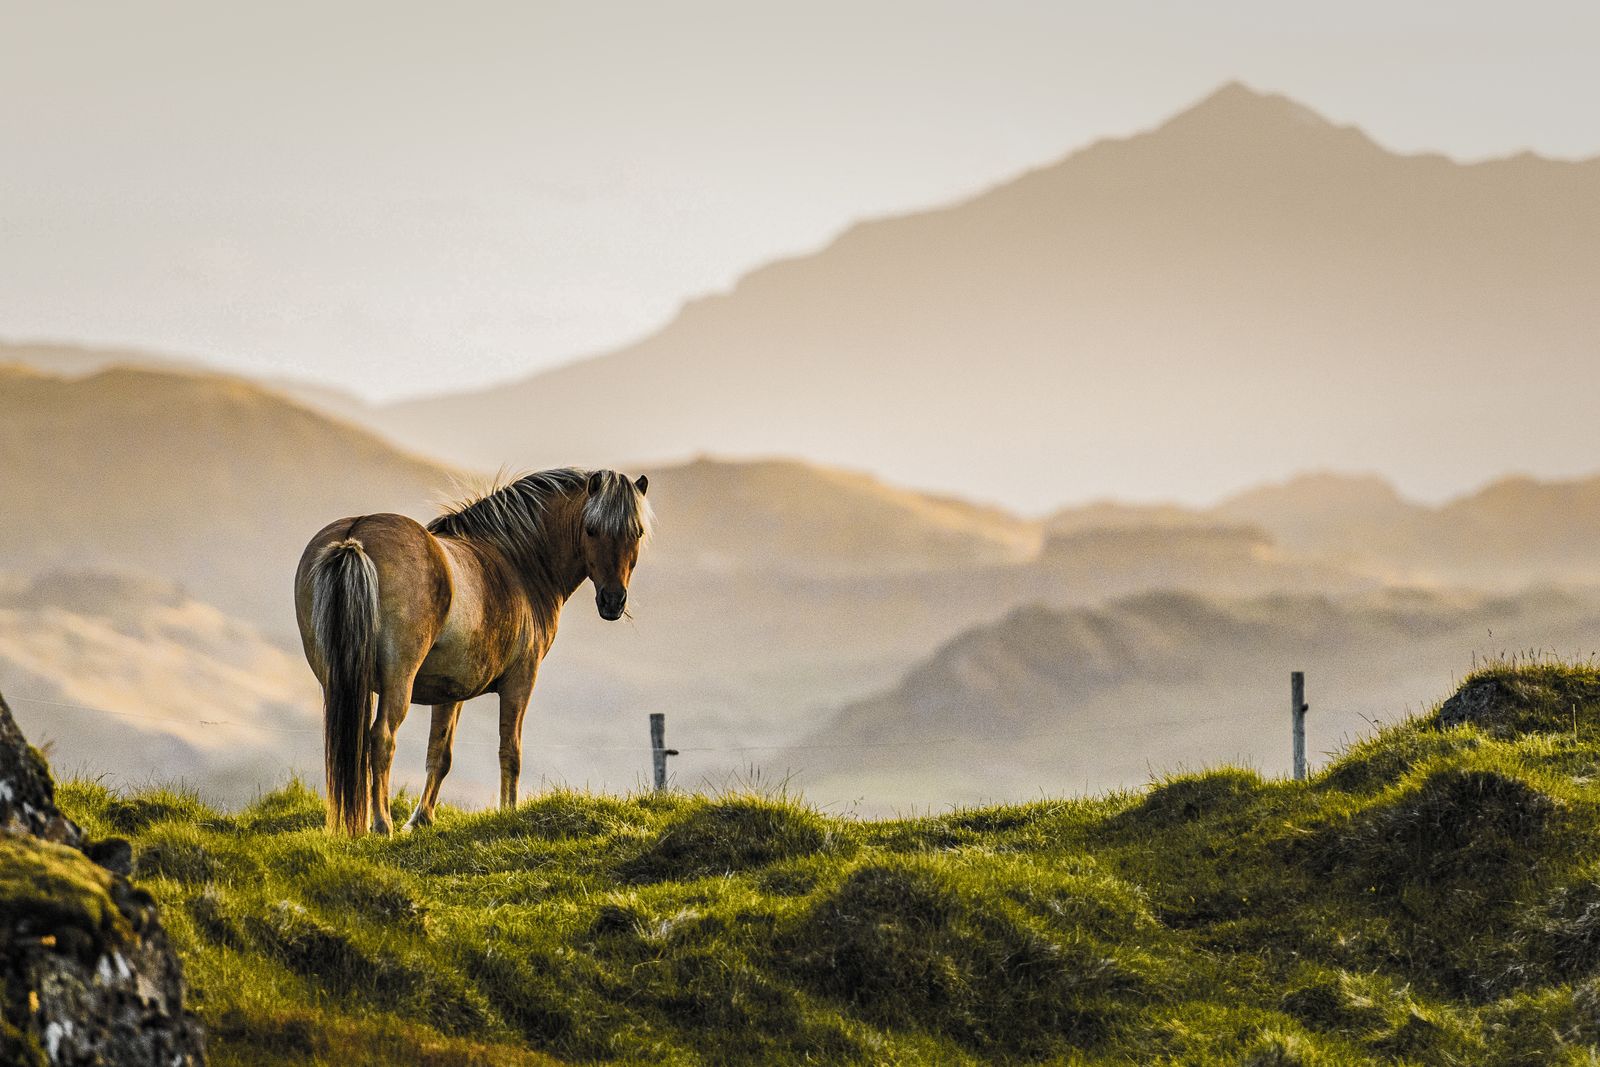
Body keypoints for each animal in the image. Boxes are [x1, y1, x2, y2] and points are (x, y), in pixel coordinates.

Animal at [293, 468, 651, 836]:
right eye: (591, 529)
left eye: (636, 533)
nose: (613, 600)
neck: (516, 562)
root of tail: (355, 537)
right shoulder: (520, 681)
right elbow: (510, 750)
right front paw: (508, 812)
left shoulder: (449, 692)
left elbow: (440, 754)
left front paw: (422, 819)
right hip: (397, 683)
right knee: (381, 738)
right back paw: (381, 824)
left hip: (341, 683)